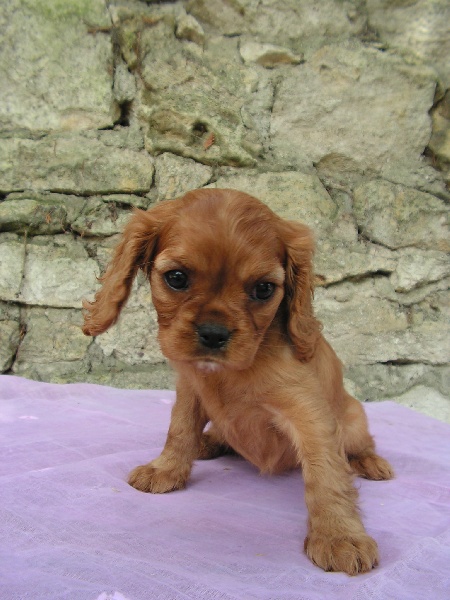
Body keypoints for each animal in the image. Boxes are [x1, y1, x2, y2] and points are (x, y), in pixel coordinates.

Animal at [82, 188, 393, 575]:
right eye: (177, 277)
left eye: (263, 289)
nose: (214, 334)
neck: (232, 371)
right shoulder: (190, 389)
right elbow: (180, 429)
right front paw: (166, 469)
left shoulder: (310, 414)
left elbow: (328, 474)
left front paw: (339, 535)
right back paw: (209, 442)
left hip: (353, 421)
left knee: (359, 446)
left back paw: (370, 462)